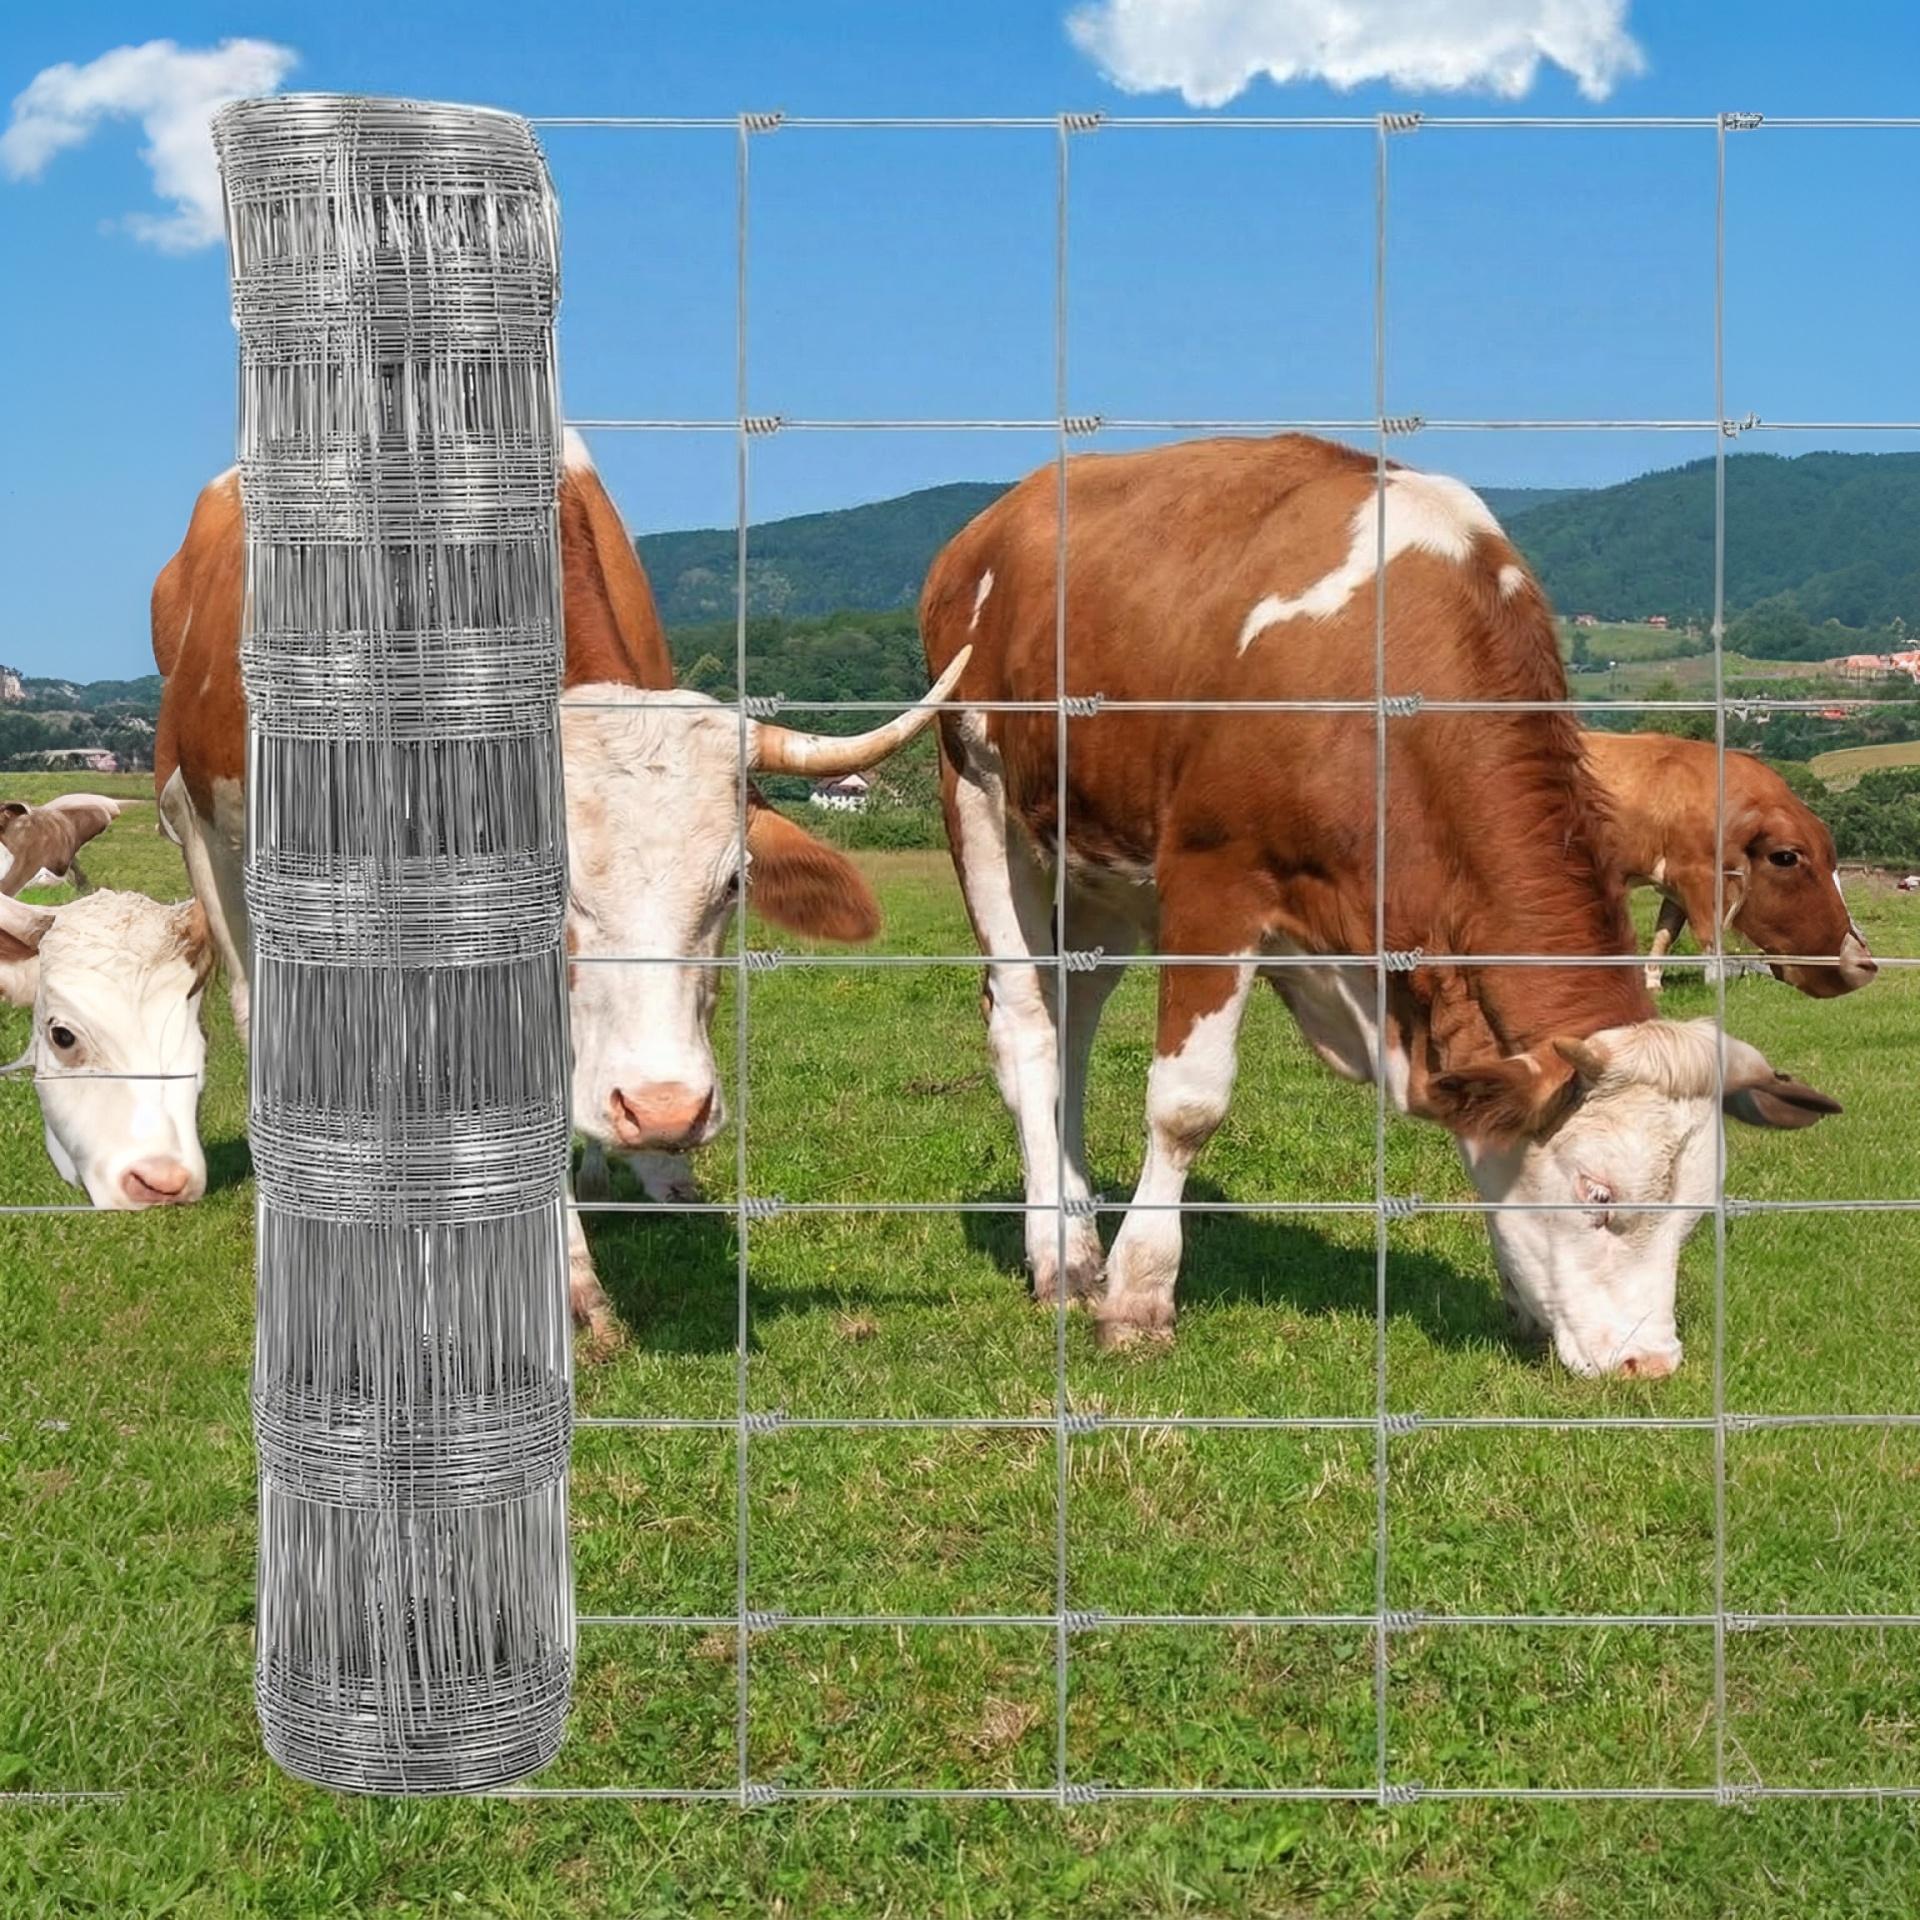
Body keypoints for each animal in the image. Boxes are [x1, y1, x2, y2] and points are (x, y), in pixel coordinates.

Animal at [922, 434, 1838, 1378]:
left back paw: (1075, 1225)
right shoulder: (1213, 880)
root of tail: (993, 522)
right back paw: (1064, 1261)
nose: (1649, 1364)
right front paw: (1138, 1298)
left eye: (1695, 1217)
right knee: (1027, 1025)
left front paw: (1519, 1297)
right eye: (1598, 1193)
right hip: (978, 790)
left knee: (1074, 1019)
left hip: (1092, 855)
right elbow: (1186, 1104)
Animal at [1580, 730, 1875, 996]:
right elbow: (1710, 933)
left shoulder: (1673, 885)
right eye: (1785, 857)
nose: (1862, 964)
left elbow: (1666, 933)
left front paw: (1653, 983)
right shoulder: (1696, 875)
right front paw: (1715, 982)